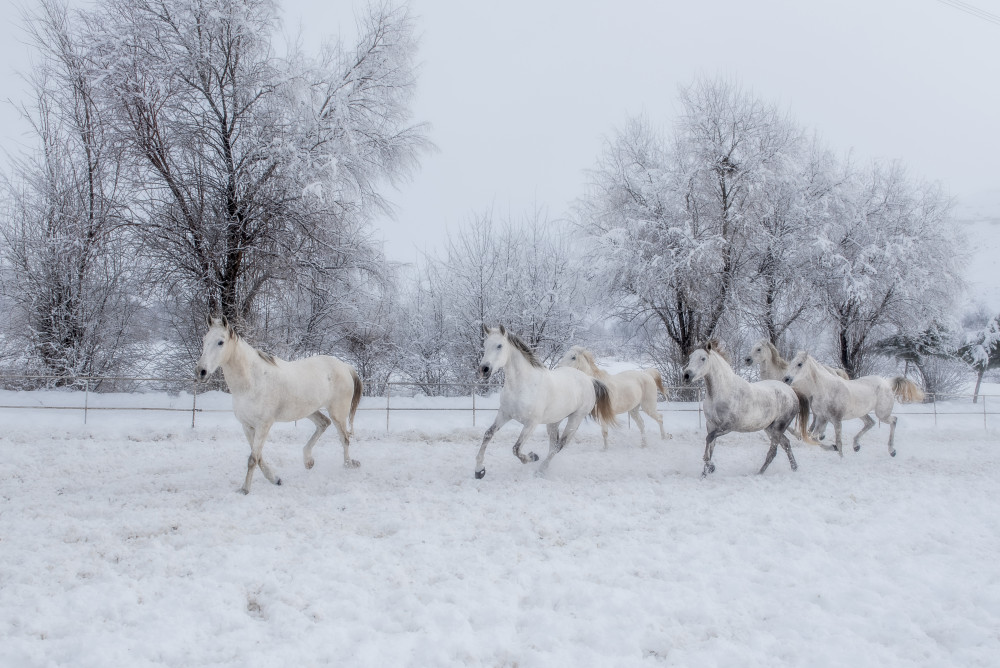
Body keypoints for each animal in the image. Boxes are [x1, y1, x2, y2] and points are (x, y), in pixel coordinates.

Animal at [195, 316, 364, 494]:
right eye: (204, 340)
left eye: (220, 342)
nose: (201, 372)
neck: (252, 382)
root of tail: (345, 366)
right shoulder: (247, 426)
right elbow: (258, 457)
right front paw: (275, 479)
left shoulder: (263, 425)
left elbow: (253, 458)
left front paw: (244, 490)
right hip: (308, 410)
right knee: (324, 423)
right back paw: (308, 461)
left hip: (338, 413)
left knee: (344, 438)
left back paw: (348, 464)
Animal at [474, 324, 616, 478]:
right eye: (485, 345)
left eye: (499, 345)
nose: (484, 369)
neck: (523, 385)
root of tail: (589, 379)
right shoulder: (505, 414)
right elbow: (488, 435)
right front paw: (479, 470)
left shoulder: (531, 423)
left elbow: (516, 449)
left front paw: (532, 456)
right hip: (554, 422)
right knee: (554, 444)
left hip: (575, 419)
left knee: (560, 445)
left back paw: (541, 469)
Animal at [680, 342, 804, 478]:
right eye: (690, 358)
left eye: (703, 358)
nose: (686, 375)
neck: (722, 391)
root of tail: (792, 392)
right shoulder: (711, 424)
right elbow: (711, 444)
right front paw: (705, 472)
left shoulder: (728, 426)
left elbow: (709, 438)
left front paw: (709, 465)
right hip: (770, 428)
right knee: (786, 443)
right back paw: (794, 468)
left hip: (778, 427)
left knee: (773, 451)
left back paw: (759, 473)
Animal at [780, 350, 920, 460]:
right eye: (791, 362)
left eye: (799, 364)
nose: (786, 379)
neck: (826, 389)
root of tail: (887, 382)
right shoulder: (822, 418)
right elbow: (813, 438)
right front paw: (833, 448)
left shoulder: (836, 420)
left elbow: (838, 441)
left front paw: (841, 458)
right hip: (862, 413)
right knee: (870, 423)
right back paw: (856, 446)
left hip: (882, 414)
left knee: (893, 420)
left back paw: (892, 451)